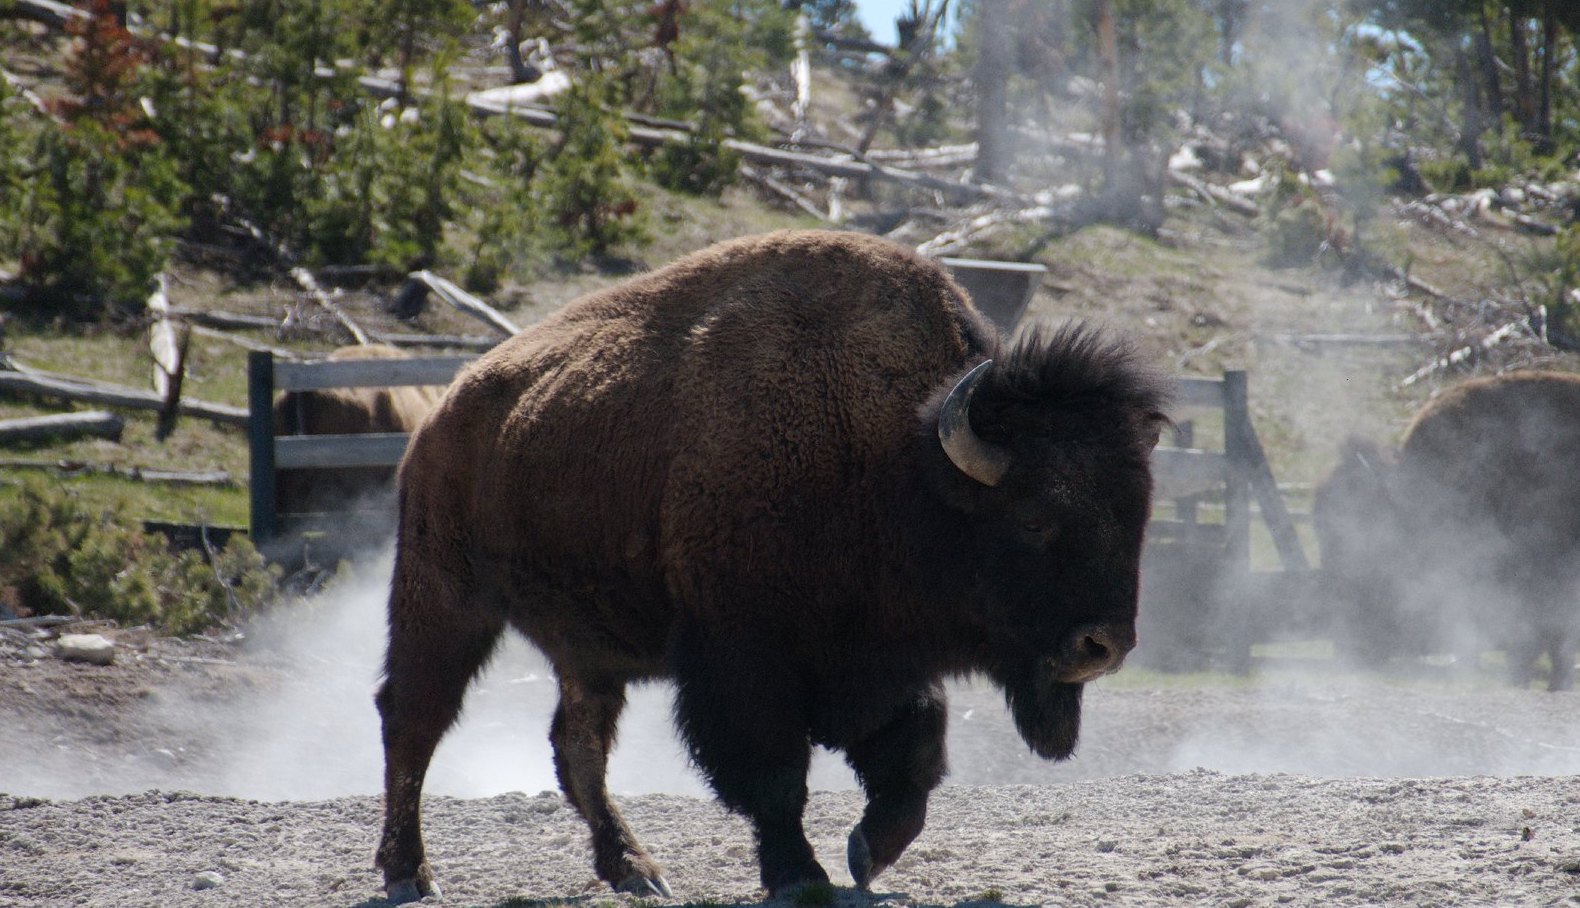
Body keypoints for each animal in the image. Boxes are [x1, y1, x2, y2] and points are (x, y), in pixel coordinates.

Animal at [372, 228, 1175, 903]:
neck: (898, 463)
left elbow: (912, 761)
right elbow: (777, 776)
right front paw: (801, 875)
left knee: (578, 747)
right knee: (413, 718)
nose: (1103, 645)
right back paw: (410, 873)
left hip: (587, 651)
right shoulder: (746, 662)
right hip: (443, 600)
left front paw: (867, 853)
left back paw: (636, 870)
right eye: (1035, 517)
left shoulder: (881, 664)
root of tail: (441, 416)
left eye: (1138, 515)